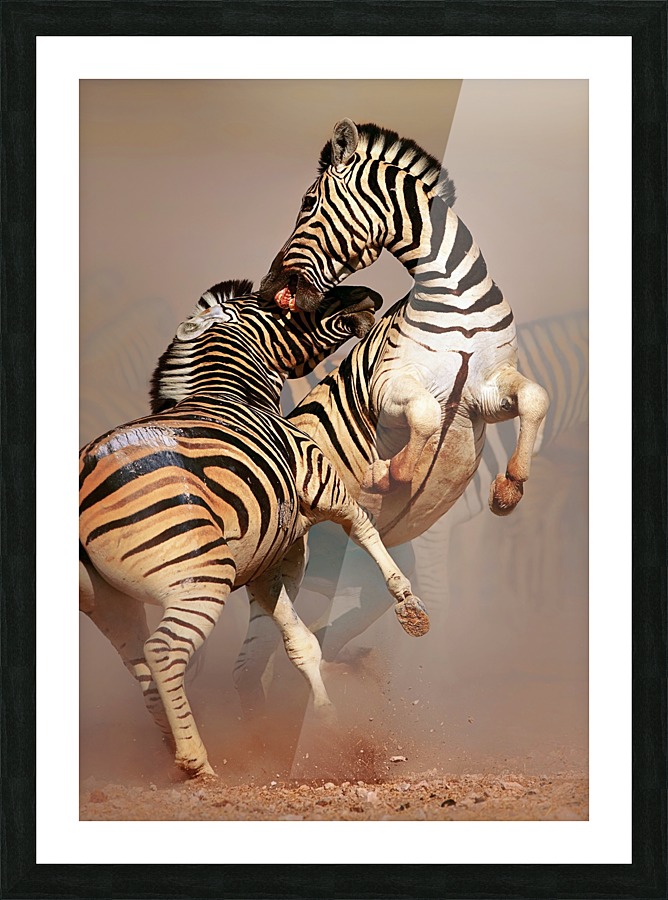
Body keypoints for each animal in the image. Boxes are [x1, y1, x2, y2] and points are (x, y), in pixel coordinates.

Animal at [79, 279, 428, 778]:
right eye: (287, 301)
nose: (370, 296)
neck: (232, 392)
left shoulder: (269, 563)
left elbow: (300, 644)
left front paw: (322, 726)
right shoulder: (319, 479)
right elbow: (364, 528)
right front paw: (408, 603)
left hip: (107, 601)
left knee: (140, 663)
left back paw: (171, 747)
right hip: (199, 577)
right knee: (163, 653)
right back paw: (197, 764)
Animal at [234, 119, 550, 709]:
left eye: (307, 201)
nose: (267, 290)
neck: (453, 298)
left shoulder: (488, 392)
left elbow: (535, 397)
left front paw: (509, 489)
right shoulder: (389, 387)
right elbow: (425, 412)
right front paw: (394, 472)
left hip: (335, 570)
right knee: (253, 660)